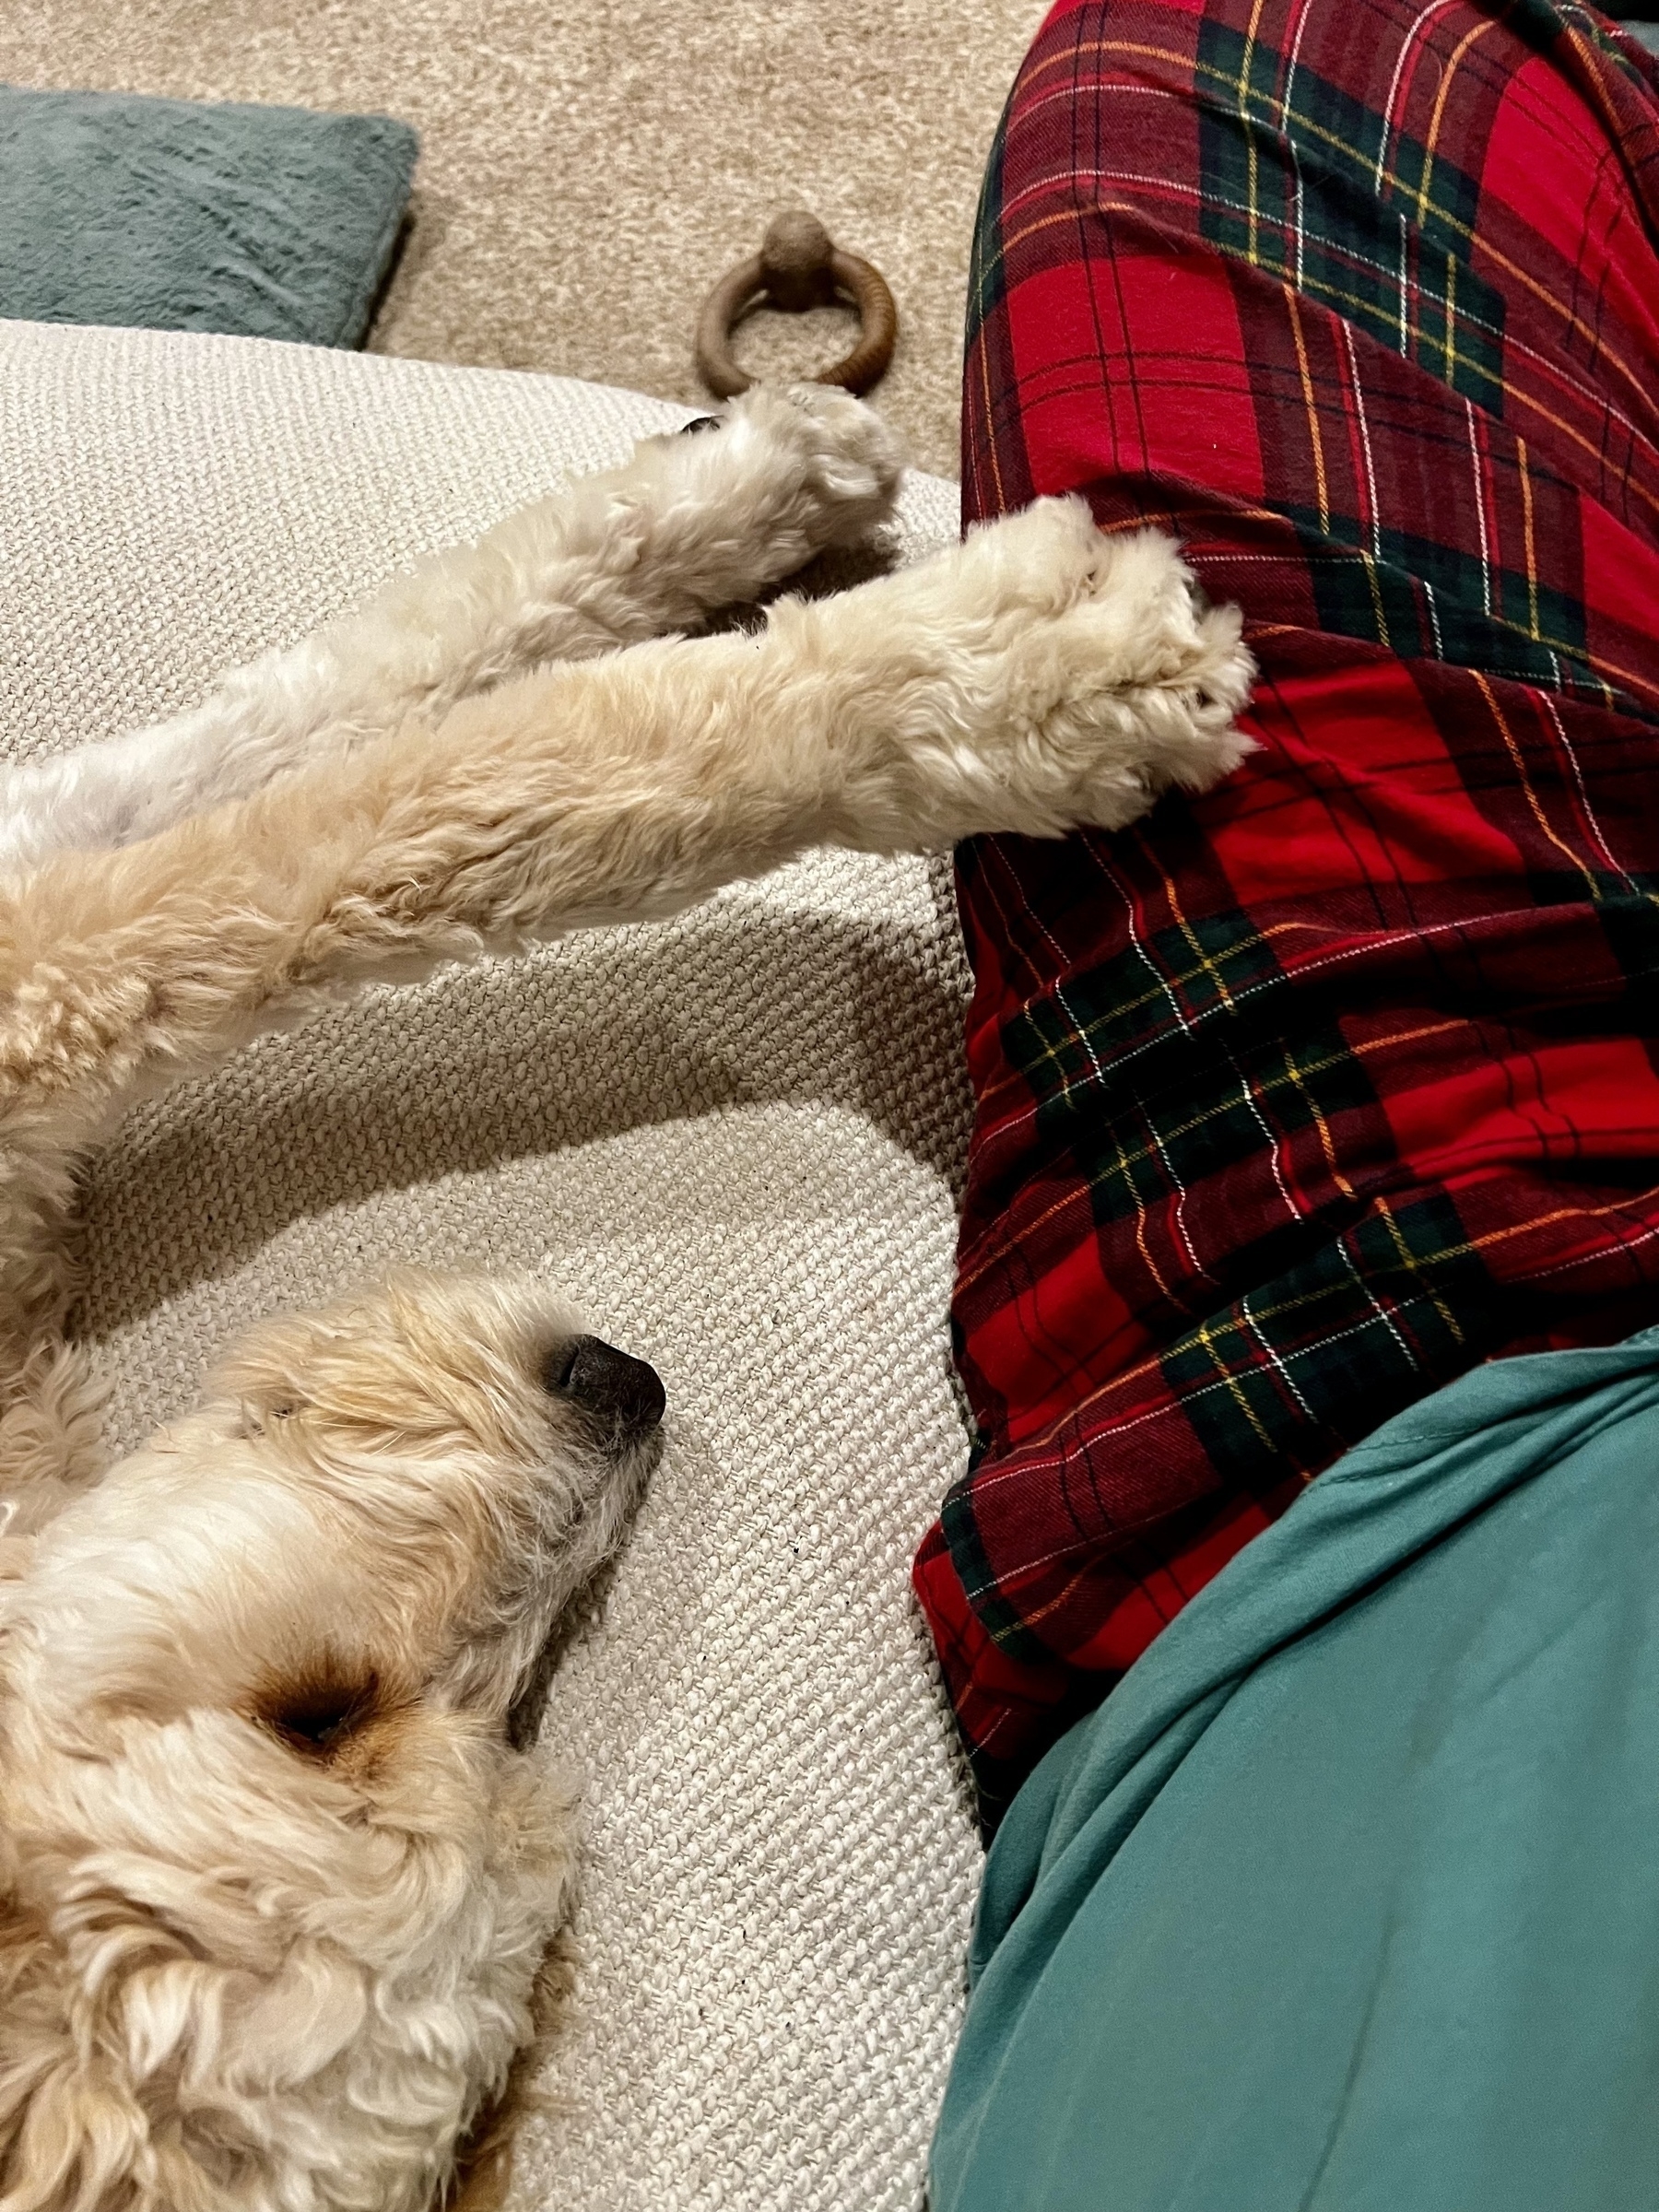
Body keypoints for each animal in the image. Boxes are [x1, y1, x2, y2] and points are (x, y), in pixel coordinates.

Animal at [0, 389, 1256, 2203]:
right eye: (333, 1718)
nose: (621, 1383)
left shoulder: (37, 922)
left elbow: (351, 732)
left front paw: (769, 495)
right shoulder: (57, 980)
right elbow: (458, 818)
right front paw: (996, 677)